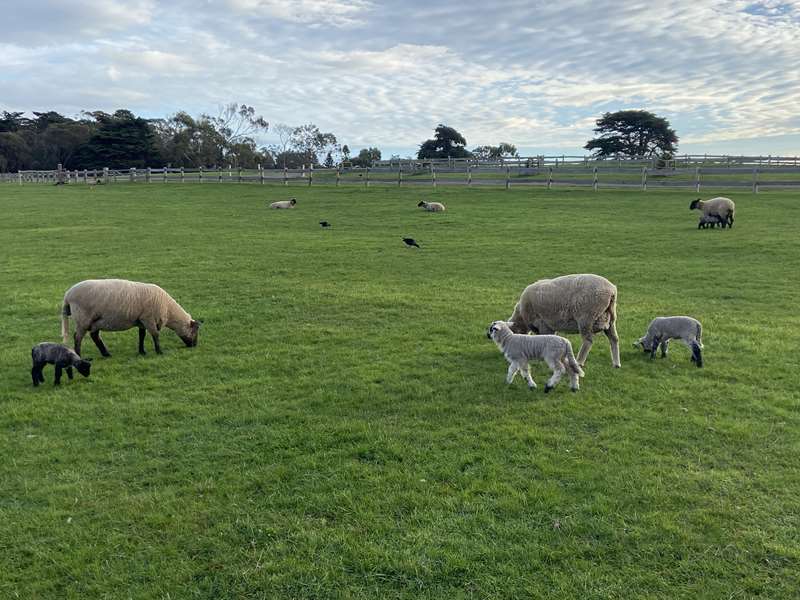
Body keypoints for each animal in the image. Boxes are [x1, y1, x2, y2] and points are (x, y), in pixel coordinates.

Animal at [61, 280, 200, 358]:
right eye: (195, 331)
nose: (194, 345)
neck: (168, 310)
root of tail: (67, 295)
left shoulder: (142, 320)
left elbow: (142, 335)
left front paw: (142, 351)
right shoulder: (148, 318)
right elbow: (155, 335)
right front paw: (159, 351)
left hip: (95, 321)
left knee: (95, 336)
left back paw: (106, 354)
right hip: (83, 319)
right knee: (78, 337)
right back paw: (79, 356)